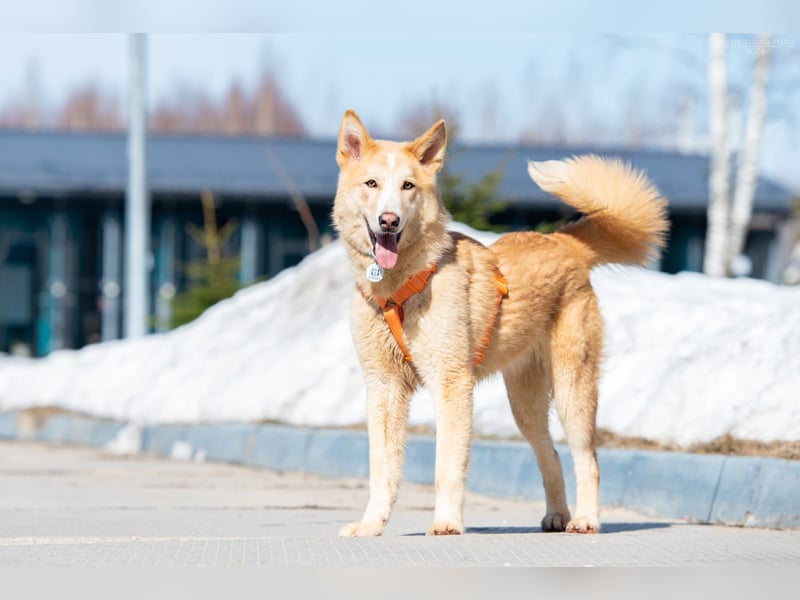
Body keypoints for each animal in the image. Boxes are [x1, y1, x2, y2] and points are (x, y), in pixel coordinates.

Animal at [332, 108, 668, 536]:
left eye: (408, 186)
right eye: (371, 183)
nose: (388, 221)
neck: (400, 287)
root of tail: (563, 242)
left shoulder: (452, 384)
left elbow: (447, 466)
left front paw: (446, 523)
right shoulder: (383, 388)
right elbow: (382, 469)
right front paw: (371, 525)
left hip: (572, 391)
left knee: (587, 458)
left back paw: (586, 519)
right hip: (525, 404)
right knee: (549, 453)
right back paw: (557, 516)